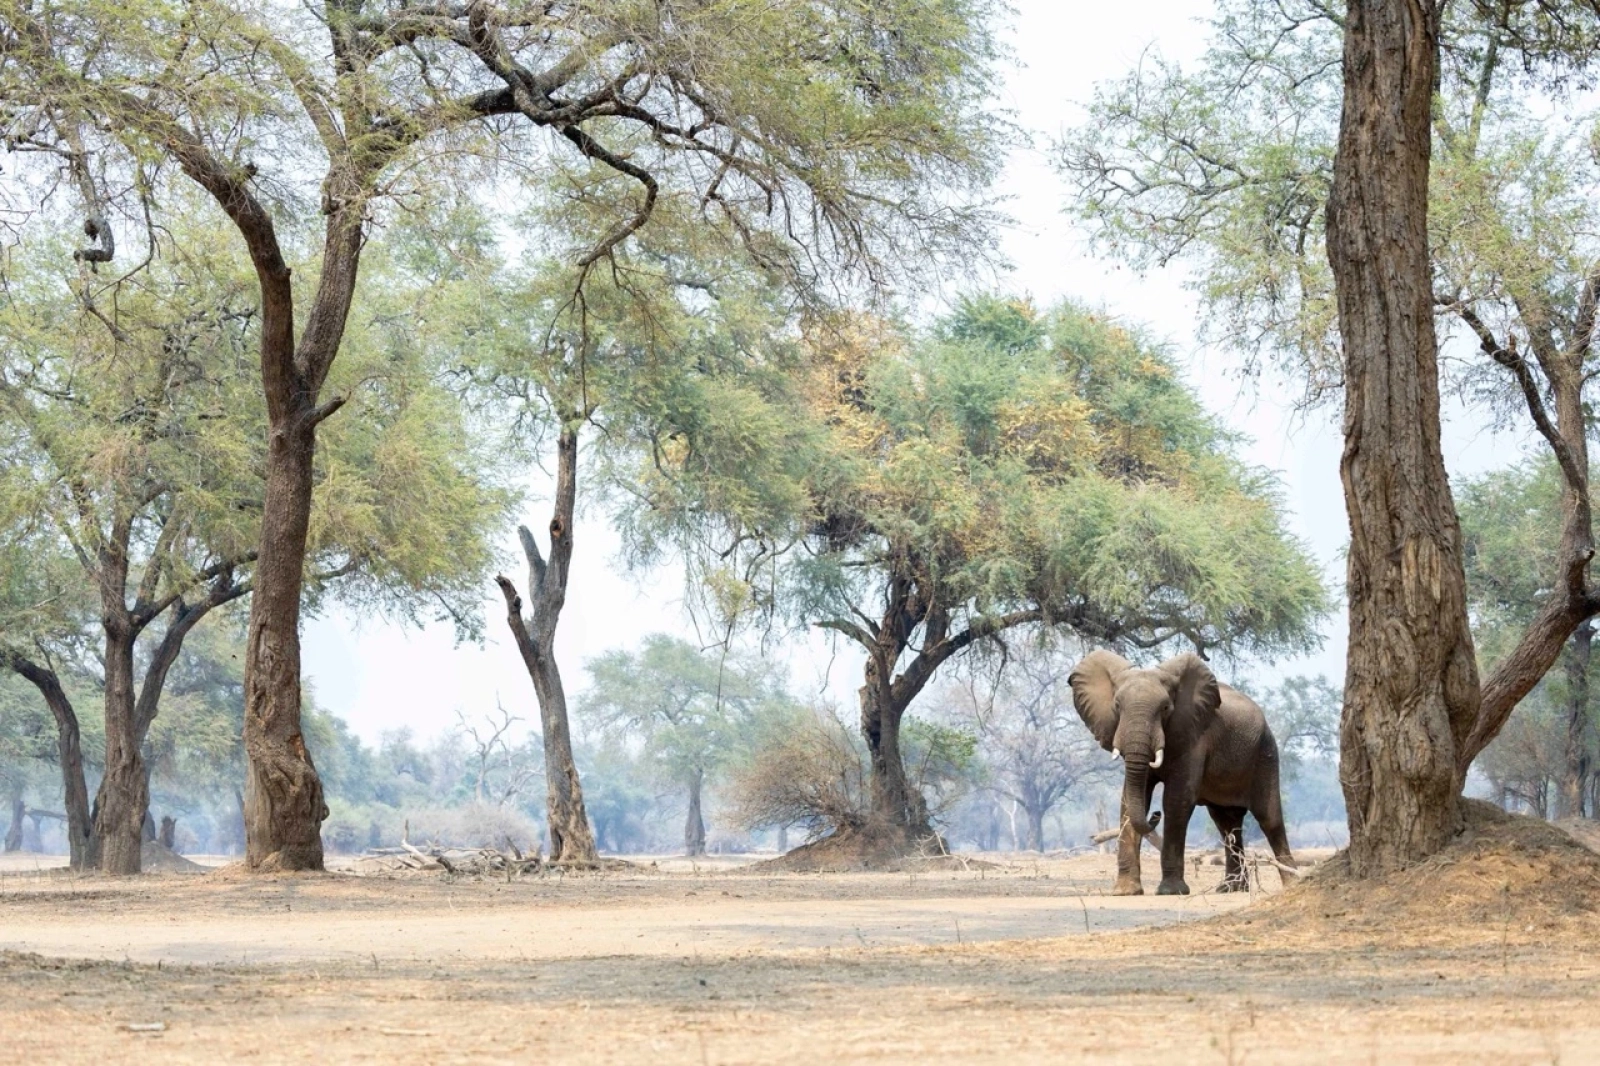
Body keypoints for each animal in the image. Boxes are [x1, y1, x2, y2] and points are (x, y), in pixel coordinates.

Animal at [1069, 649, 1297, 896]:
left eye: (1165, 709)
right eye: (1117, 706)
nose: (1155, 815)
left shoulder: (1194, 737)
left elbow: (1176, 799)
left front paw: (1170, 891)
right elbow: (1131, 798)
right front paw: (1125, 892)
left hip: (1266, 754)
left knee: (1270, 819)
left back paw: (1292, 882)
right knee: (1226, 823)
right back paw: (1231, 888)